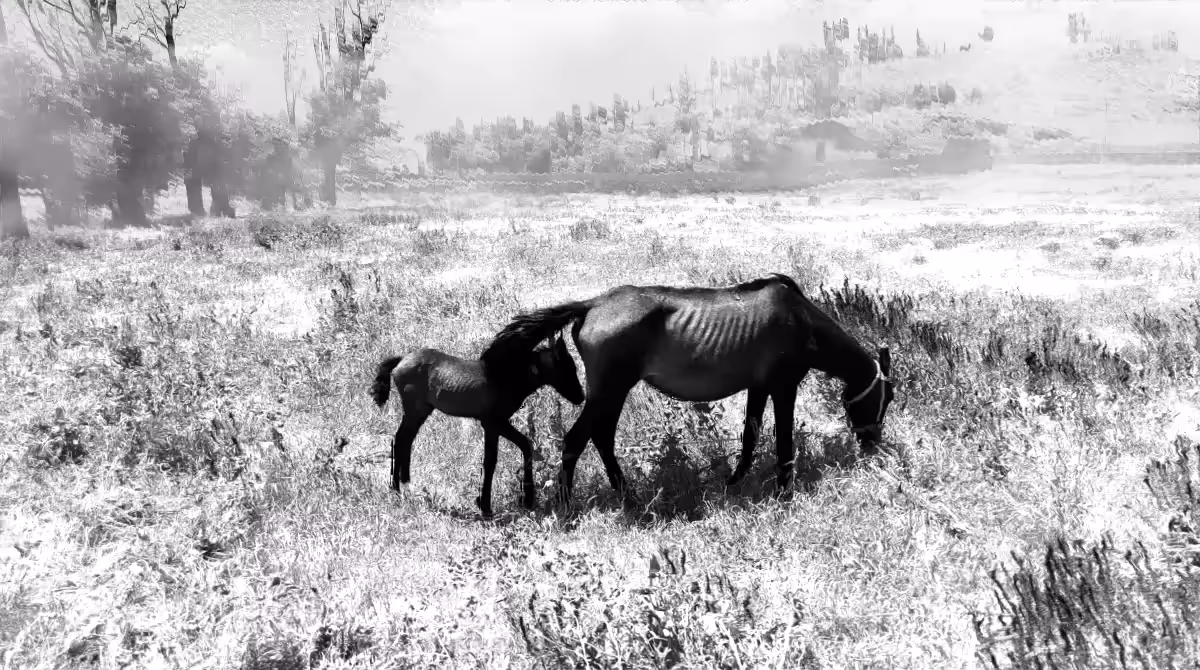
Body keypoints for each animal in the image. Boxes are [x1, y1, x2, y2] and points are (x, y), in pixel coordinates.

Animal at [371, 336, 585, 518]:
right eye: (569, 368)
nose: (581, 396)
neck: (508, 377)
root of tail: (401, 360)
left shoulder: (496, 424)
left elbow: (524, 445)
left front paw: (526, 499)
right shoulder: (493, 423)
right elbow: (491, 461)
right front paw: (486, 507)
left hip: (420, 412)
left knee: (404, 441)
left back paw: (403, 486)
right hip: (415, 411)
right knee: (400, 440)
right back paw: (397, 489)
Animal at [480, 273, 896, 509]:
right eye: (888, 398)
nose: (873, 445)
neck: (801, 320)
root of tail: (592, 305)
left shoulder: (759, 386)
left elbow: (750, 437)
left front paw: (733, 484)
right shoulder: (783, 386)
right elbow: (783, 444)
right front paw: (785, 494)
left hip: (611, 392)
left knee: (601, 437)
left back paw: (627, 495)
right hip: (609, 389)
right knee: (577, 439)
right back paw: (568, 504)